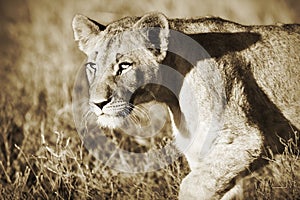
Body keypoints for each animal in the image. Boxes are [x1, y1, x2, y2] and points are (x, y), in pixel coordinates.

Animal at [72, 12, 300, 198]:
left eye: (125, 66)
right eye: (93, 66)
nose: (98, 103)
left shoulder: (246, 139)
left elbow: (192, 187)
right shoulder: (203, 150)